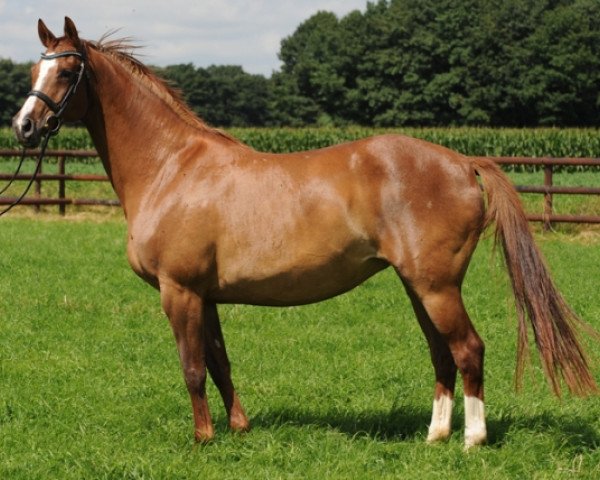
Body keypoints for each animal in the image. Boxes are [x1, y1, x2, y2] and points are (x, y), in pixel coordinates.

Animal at [12, 17, 596, 446]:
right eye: (34, 71)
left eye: (67, 72)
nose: (23, 127)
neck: (171, 166)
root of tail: (461, 161)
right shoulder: (206, 295)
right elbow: (220, 362)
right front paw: (238, 428)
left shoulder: (179, 292)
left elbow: (193, 367)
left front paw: (203, 438)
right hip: (420, 287)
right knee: (441, 352)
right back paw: (435, 436)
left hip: (436, 286)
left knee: (469, 349)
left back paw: (472, 440)